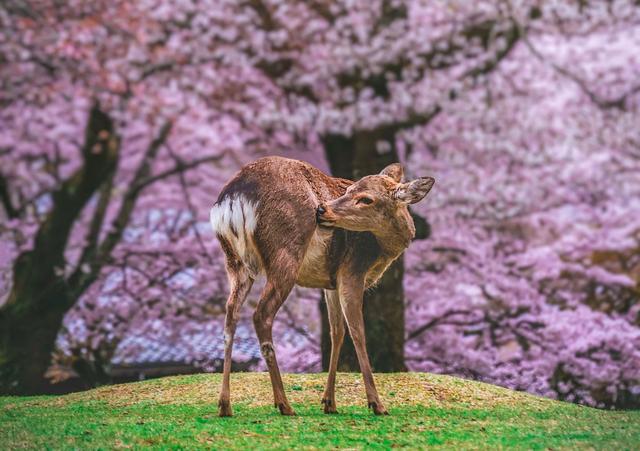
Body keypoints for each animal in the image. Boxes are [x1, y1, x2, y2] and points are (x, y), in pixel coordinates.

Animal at [210, 157, 436, 418]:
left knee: (230, 315)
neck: (383, 250)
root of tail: (233, 198)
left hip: (234, 262)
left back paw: (225, 405)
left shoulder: (331, 282)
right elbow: (358, 331)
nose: (322, 209)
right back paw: (284, 404)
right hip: (286, 254)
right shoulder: (352, 269)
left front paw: (329, 402)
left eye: (366, 198)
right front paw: (376, 404)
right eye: (349, 190)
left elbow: (336, 332)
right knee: (261, 314)